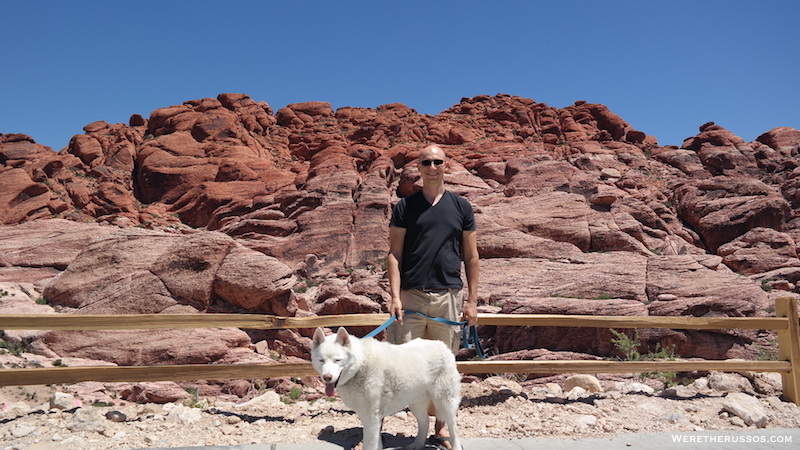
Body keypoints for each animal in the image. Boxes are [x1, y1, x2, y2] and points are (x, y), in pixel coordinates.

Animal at [310, 326, 462, 450]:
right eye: (321, 360)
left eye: (337, 360)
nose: (327, 377)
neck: (360, 365)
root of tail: (442, 345)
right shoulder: (369, 417)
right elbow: (376, 443)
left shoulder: (371, 418)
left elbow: (370, 445)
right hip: (416, 403)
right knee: (425, 422)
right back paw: (417, 445)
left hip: (444, 403)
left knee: (453, 428)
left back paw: (455, 446)